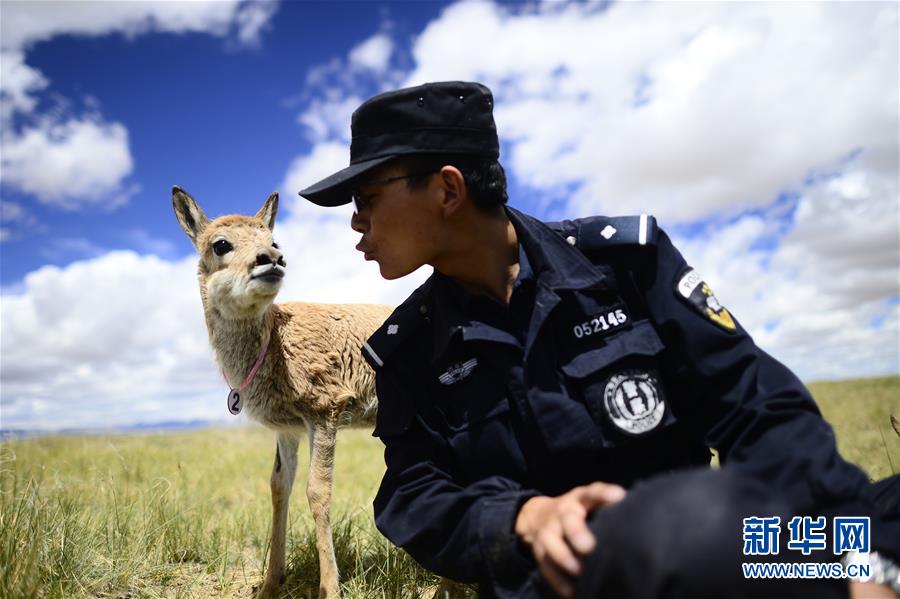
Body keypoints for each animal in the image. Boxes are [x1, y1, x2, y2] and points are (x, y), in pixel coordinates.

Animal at [172, 185, 390, 596]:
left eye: (274, 242)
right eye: (220, 244)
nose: (272, 260)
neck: (276, 340)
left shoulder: (324, 412)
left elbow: (318, 492)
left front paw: (329, 588)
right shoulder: (287, 429)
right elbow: (278, 487)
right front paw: (271, 582)